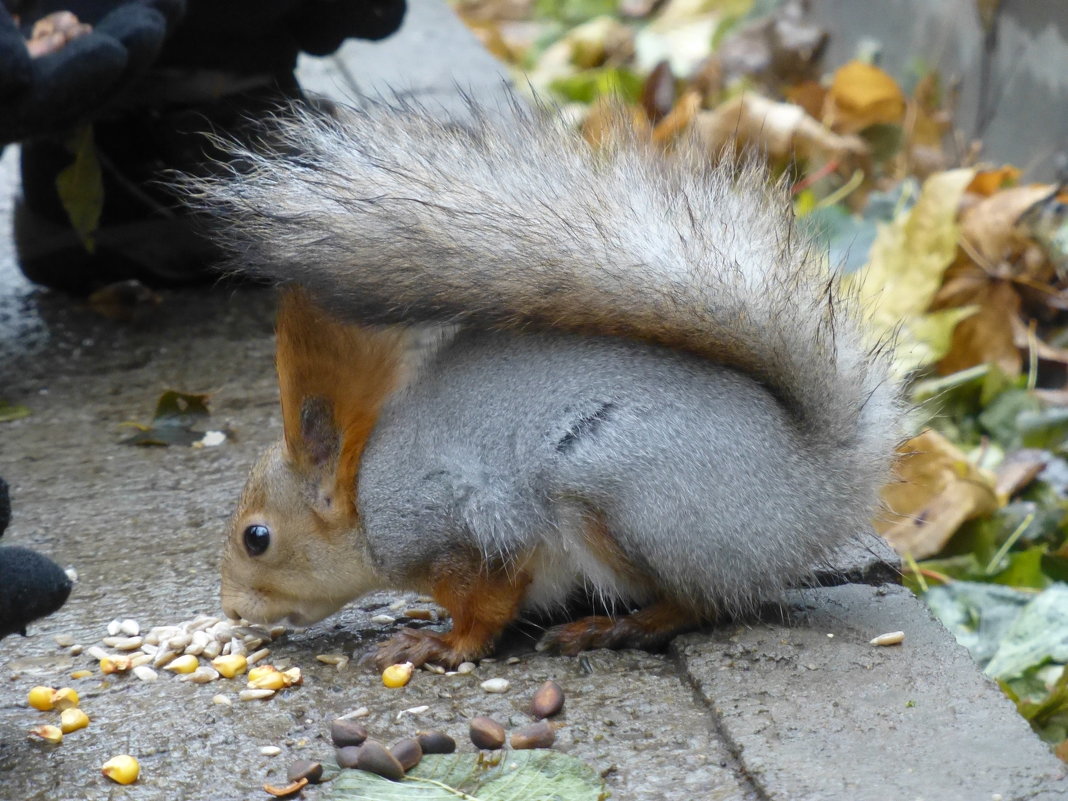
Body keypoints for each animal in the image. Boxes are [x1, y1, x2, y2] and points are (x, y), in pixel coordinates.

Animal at [183, 97, 901, 666]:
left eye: (256, 538)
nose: (234, 610)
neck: (365, 498)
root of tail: (815, 490)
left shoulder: (463, 526)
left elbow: (487, 606)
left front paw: (440, 643)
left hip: (619, 498)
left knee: (700, 602)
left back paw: (614, 627)